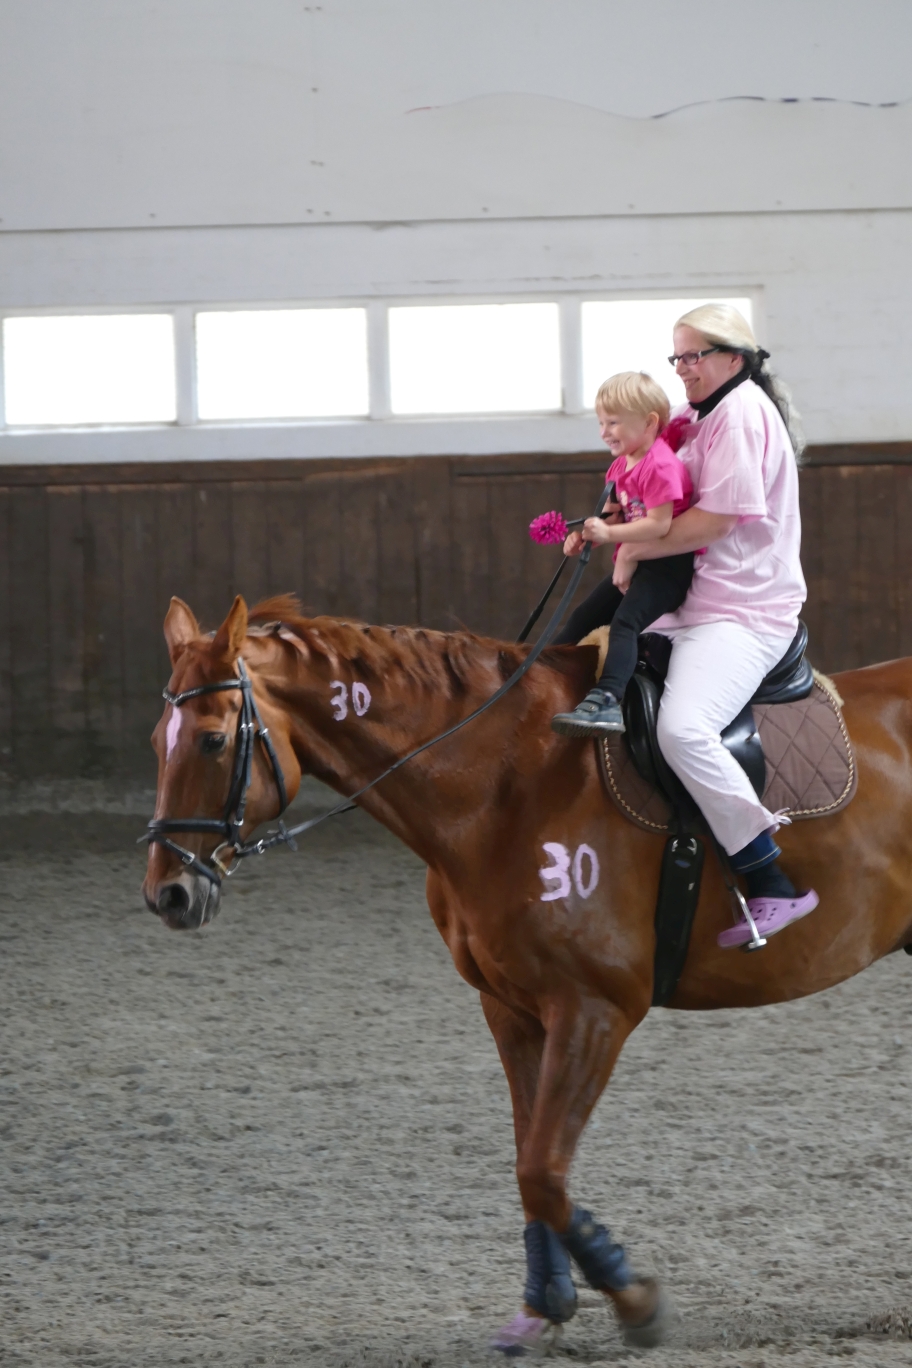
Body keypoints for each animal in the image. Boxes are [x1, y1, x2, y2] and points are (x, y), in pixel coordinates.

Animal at [140, 593, 912, 1351]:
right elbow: (527, 1161)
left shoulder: (593, 1010)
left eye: (211, 740)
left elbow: (541, 1171)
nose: (167, 895)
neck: (506, 782)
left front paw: (633, 1298)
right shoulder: (512, 1009)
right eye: (156, 741)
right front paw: (544, 1303)